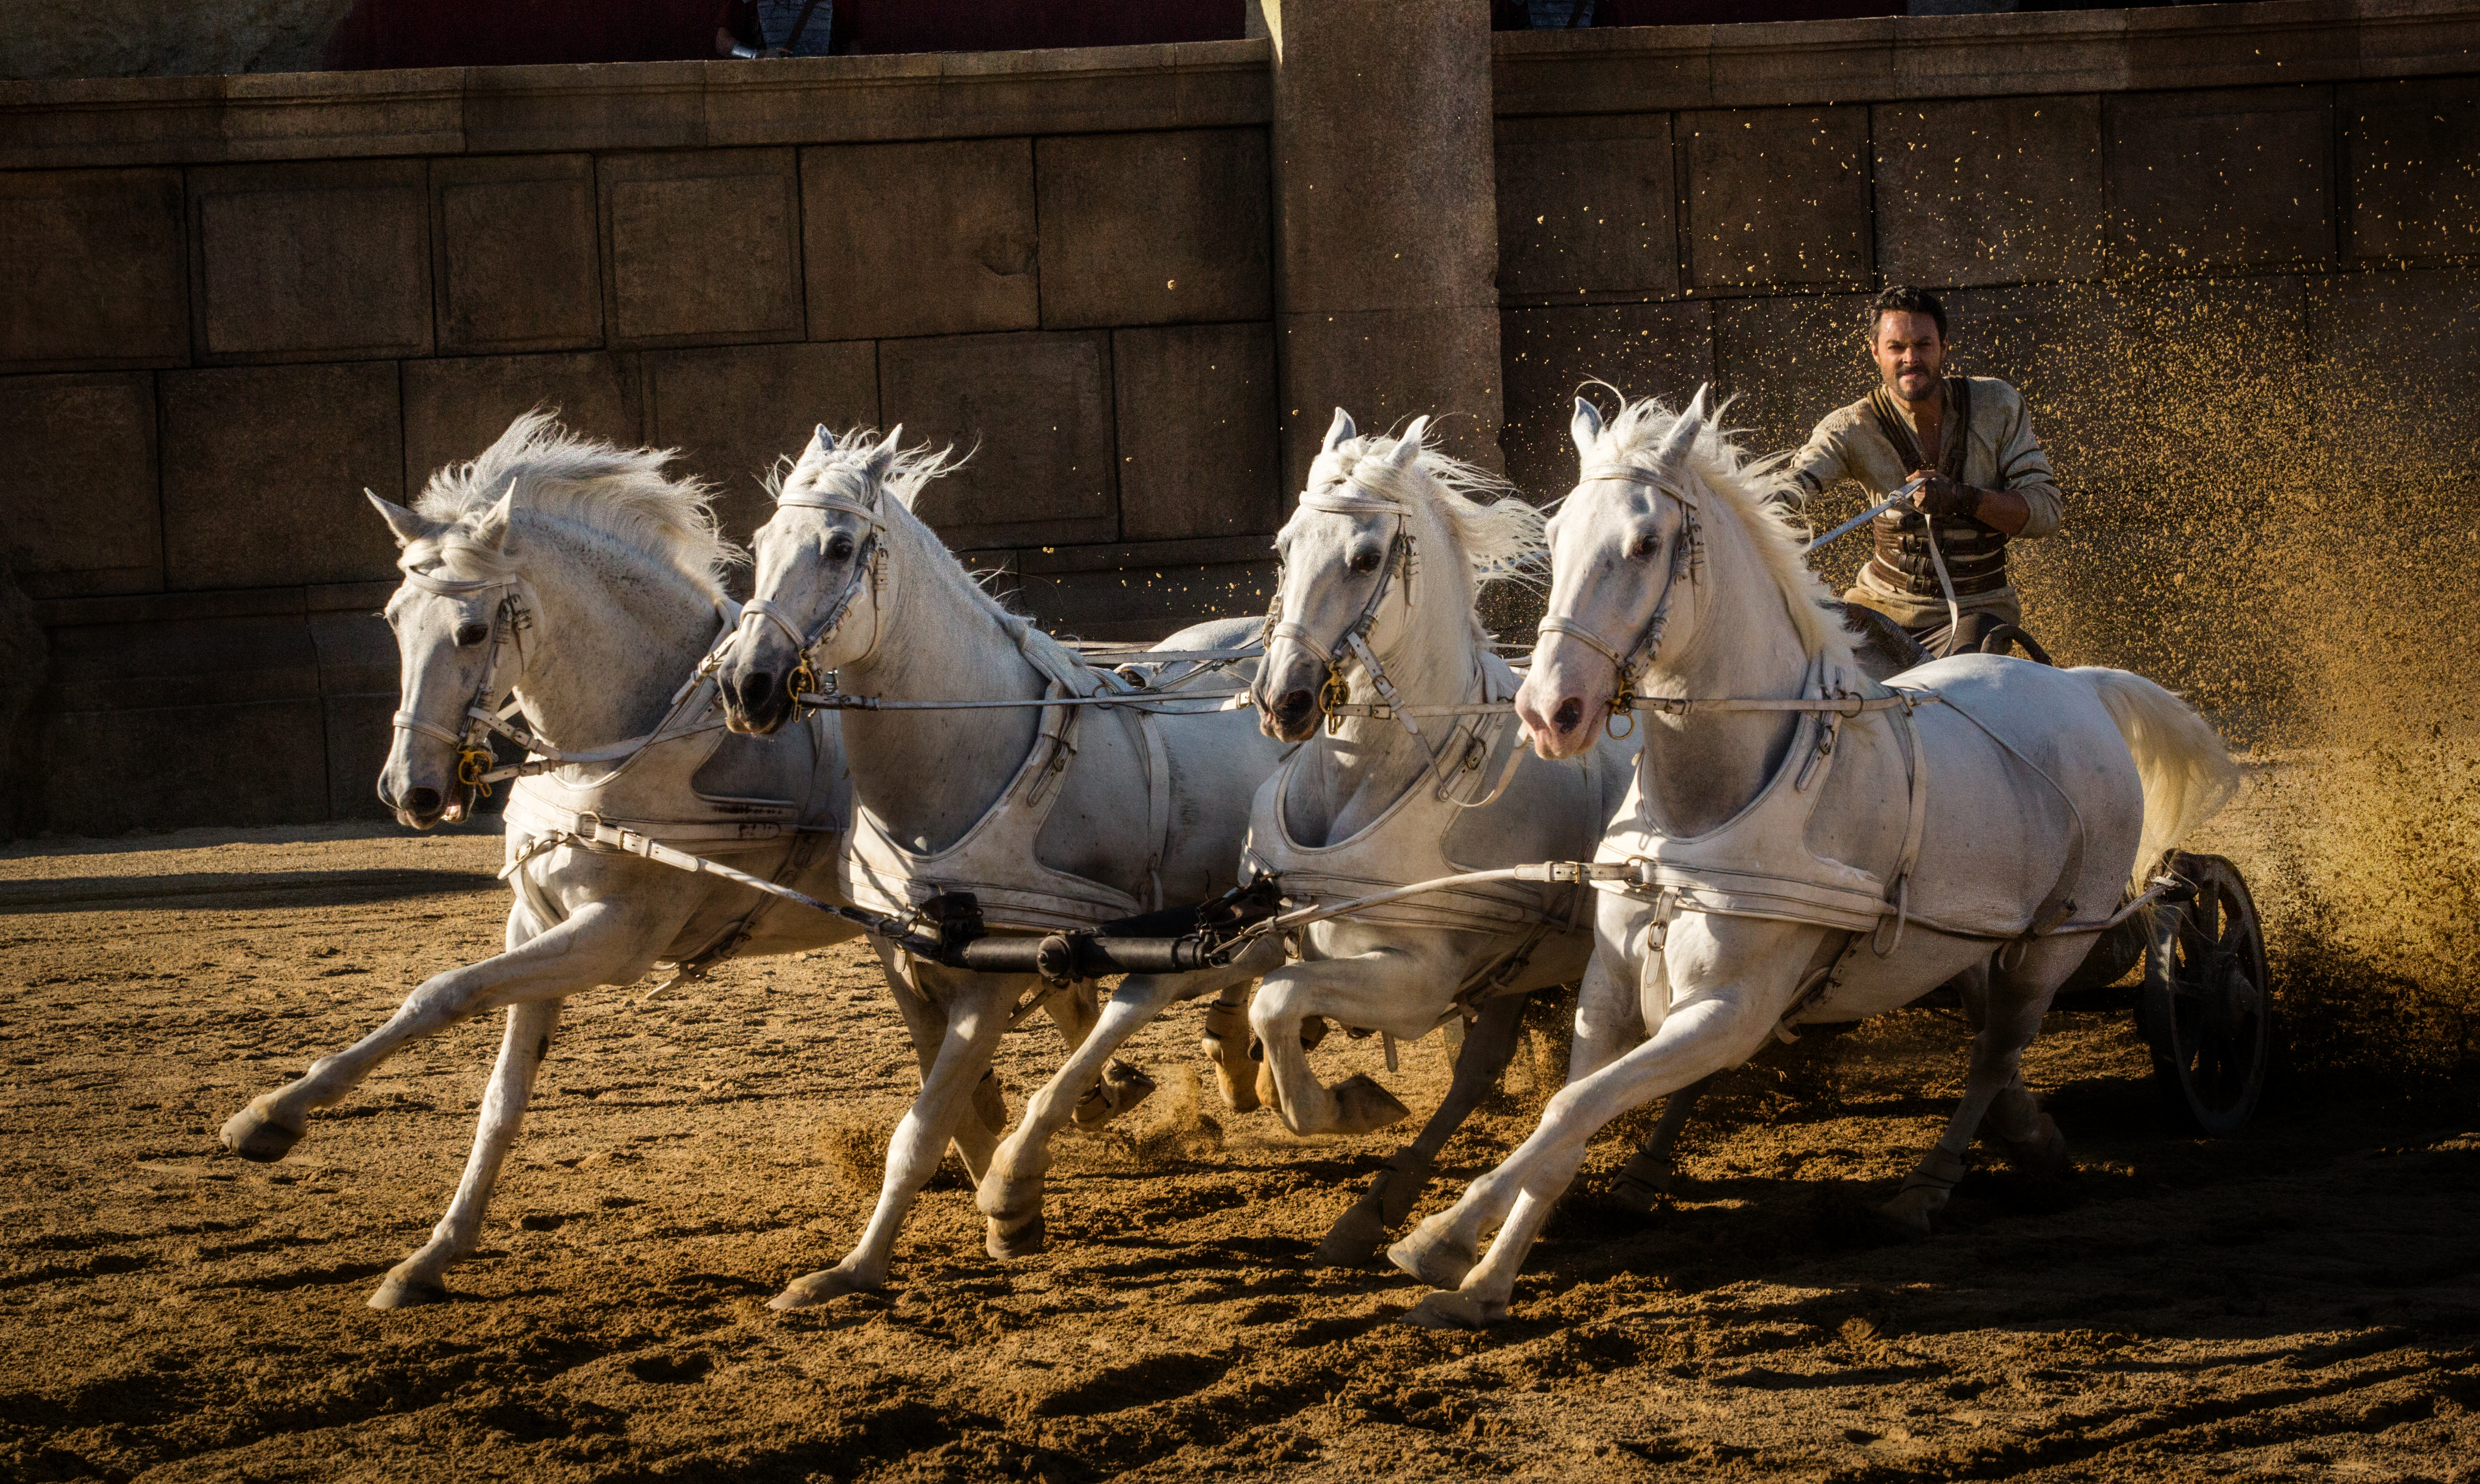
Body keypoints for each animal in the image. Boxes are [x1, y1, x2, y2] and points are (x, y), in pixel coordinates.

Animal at [216, 412, 893, 1310]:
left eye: (473, 630)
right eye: (394, 617)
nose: (408, 789)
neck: (635, 741)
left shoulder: (614, 938)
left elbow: (442, 992)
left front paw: (274, 1114)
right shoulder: (534, 921)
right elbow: (502, 1096)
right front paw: (433, 1253)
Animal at [719, 424, 1290, 1300]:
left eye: (841, 545)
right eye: (758, 542)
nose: (745, 685)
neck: (967, 750)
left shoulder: (994, 968)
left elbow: (921, 1130)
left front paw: (870, 1263)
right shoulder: (903, 957)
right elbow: (951, 1110)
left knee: (1205, 969)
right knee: (1226, 963)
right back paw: (1220, 1058)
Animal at [982, 417, 1646, 1265]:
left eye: (1365, 558)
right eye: (1282, 547)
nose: (1280, 699)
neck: (1374, 775)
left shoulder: (1418, 978)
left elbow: (1278, 1004)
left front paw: (1350, 1101)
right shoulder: (1264, 924)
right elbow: (1132, 1005)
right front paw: (1009, 1186)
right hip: (1516, 972)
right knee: (1481, 1069)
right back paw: (1377, 1209)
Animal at [1389, 392, 2242, 1330]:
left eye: (1646, 543)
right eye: (1560, 531)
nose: (1549, 709)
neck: (1704, 809)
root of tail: (2081, 684)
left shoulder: (1731, 1010)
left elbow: (1577, 1106)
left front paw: (1439, 1234)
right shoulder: (1608, 989)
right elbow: (1561, 1122)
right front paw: (1483, 1280)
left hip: (2050, 945)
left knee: (1995, 1054)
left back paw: (1927, 1189)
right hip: (1969, 943)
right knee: (1991, 1042)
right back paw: (2028, 1143)